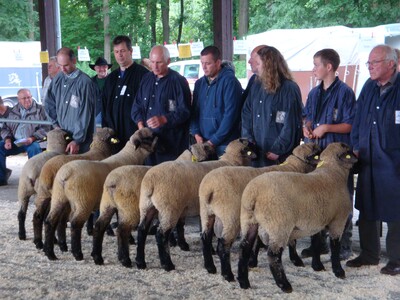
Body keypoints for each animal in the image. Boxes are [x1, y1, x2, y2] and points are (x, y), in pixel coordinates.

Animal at [42, 127, 158, 262]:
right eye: (147, 137)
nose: (158, 137)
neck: (130, 156)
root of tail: (65, 174)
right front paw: (128, 239)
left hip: (59, 198)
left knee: (50, 221)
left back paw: (52, 252)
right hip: (83, 201)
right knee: (75, 224)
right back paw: (77, 254)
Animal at [134, 138, 256, 272]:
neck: (230, 161)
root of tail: (151, 181)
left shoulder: (196, 210)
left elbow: (195, 230)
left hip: (147, 206)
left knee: (142, 230)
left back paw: (140, 262)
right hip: (169, 208)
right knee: (161, 235)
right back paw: (167, 264)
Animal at [200, 142, 322, 280]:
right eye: (316, 152)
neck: (295, 168)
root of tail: (210, 187)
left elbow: (257, 241)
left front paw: (252, 261)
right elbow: (292, 241)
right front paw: (296, 259)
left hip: (206, 212)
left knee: (205, 238)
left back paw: (210, 267)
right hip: (230, 215)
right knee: (223, 245)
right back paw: (228, 275)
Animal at [238, 142, 356, 292]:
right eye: (349, 151)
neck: (333, 172)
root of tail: (254, 193)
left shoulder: (317, 220)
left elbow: (316, 243)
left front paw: (317, 266)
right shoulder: (338, 221)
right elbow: (335, 247)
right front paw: (338, 271)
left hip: (249, 221)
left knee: (244, 249)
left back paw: (243, 282)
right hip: (279, 225)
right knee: (273, 255)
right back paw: (284, 285)